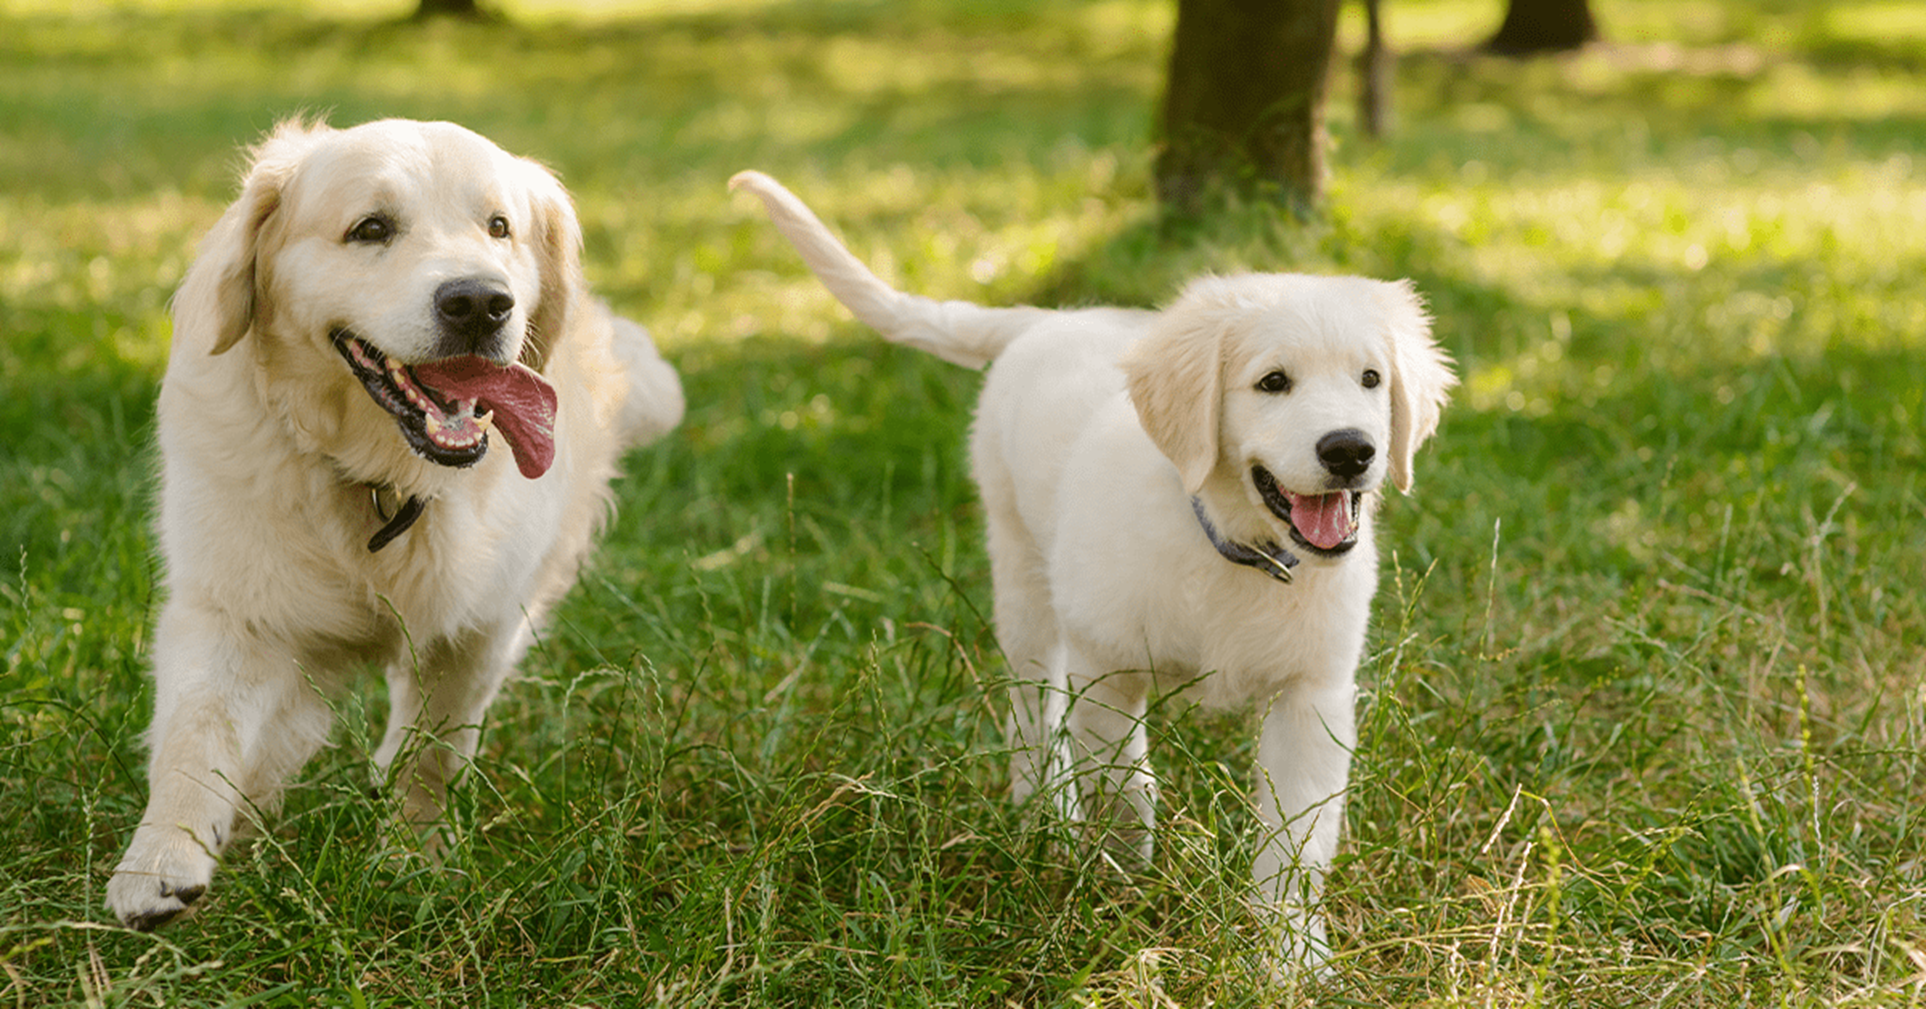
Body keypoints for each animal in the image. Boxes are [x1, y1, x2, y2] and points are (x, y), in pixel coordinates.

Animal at [110, 120, 685, 931]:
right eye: (371, 229)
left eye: (498, 227)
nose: (480, 303)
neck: (386, 483)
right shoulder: (230, 604)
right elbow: (197, 734)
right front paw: (162, 859)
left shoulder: (478, 625)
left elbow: (433, 750)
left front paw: (414, 859)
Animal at [728, 171, 1448, 970]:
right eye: (1272, 383)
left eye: (1371, 378)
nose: (1350, 450)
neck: (1225, 544)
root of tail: (1043, 321)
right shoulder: (1109, 666)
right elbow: (1125, 784)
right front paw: (1121, 884)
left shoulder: (1312, 693)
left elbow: (1296, 840)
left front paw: (1292, 958)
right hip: (1022, 576)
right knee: (1032, 711)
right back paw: (1042, 818)